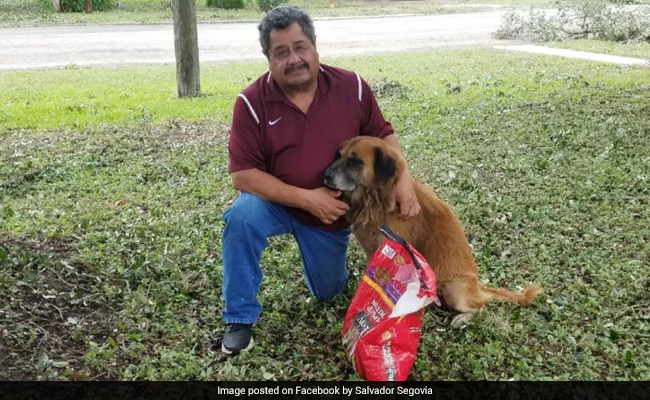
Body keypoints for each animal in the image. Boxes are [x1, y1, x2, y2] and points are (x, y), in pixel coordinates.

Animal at [324, 136, 540, 326]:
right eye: (339, 155)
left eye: (354, 160)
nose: (325, 175)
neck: (375, 200)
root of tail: (477, 285)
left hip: (453, 289)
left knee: (482, 307)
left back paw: (462, 318)